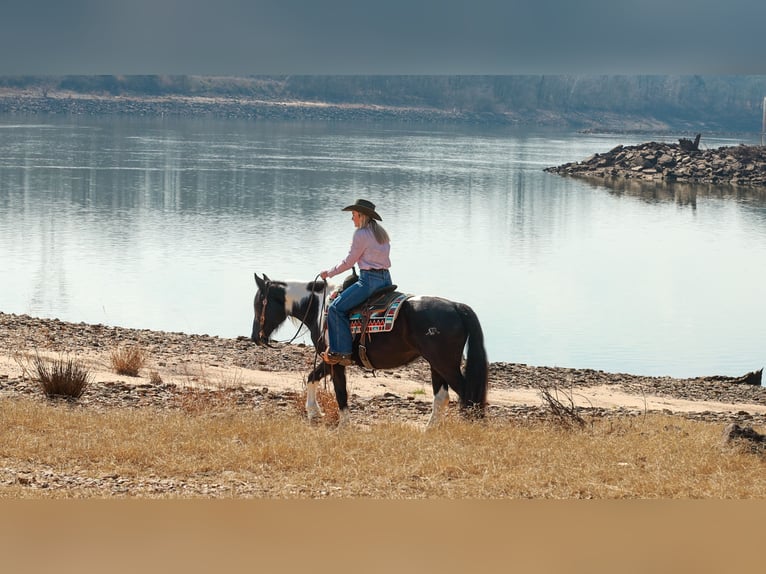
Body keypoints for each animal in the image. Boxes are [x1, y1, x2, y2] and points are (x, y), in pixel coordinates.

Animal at [251, 272, 489, 427]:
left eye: (258, 303)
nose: (255, 337)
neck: (320, 308)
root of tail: (456, 306)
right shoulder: (330, 359)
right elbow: (312, 377)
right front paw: (314, 413)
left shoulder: (336, 359)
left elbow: (340, 393)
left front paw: (343, 426)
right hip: (435, 364)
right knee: (442, 397)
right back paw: (429, 430)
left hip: (444, 363)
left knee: (466, 393)